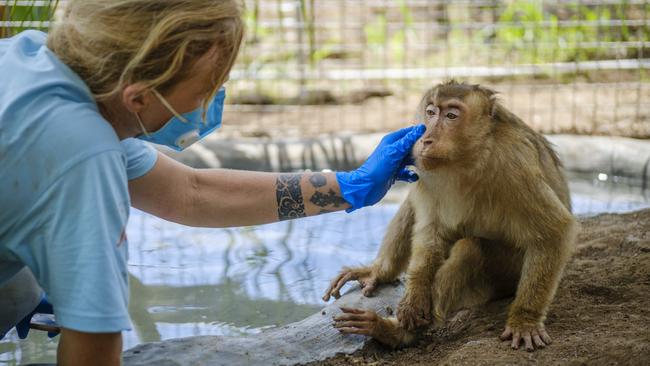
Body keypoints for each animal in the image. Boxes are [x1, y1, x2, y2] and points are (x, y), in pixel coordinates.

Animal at [322, 81, 576, 352]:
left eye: (451, 116)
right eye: (431, 112)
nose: (426, 139)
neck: (469, 157)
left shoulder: (514, 163)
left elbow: (554, 232)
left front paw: (525, 320)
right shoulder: (424, 167)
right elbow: (430, 228)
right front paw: (414, 295)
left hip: (509, 274)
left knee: (470, 249)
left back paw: (398, 334)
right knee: (415, 208)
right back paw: (381, 274)